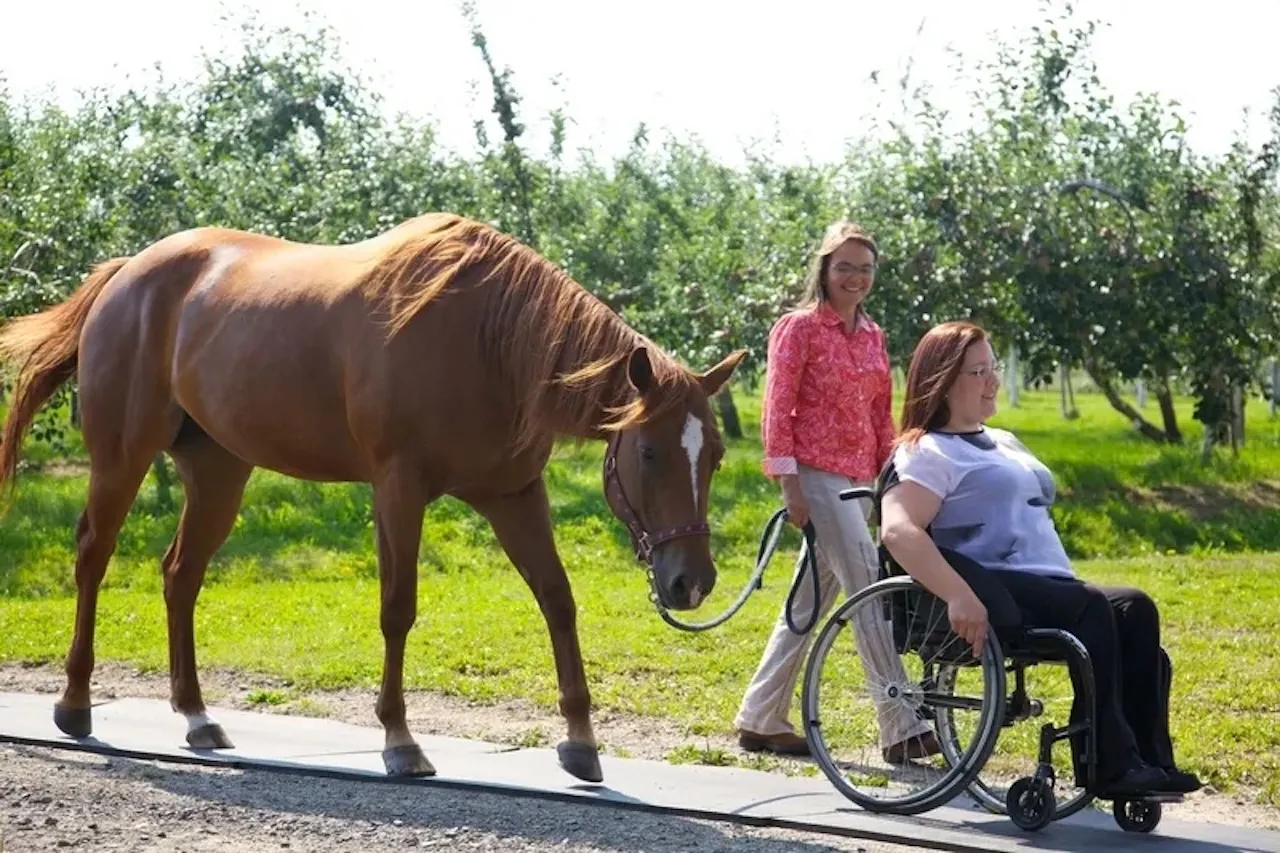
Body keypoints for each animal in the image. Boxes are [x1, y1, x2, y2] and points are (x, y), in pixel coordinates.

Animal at [0, 212, 746, 784]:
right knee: (93, 556)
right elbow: (397, 608)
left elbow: (558, 601)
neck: (488, 339)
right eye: (648, 452)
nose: (691, 582)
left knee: (180, 574)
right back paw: (75, 704)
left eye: (713, 454)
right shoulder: (398, 489)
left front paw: (581, 743)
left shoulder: (513, 494)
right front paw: (400, 742)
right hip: (121, 457)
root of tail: (128, 272)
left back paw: (197, 716)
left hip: (219, 471)